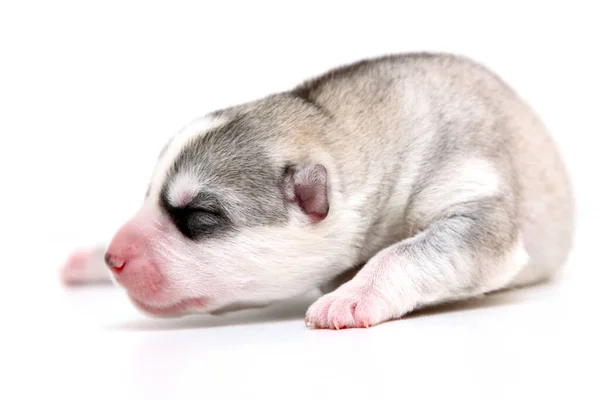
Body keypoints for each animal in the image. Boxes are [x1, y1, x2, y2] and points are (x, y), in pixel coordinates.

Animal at [58, 52, 576, 328]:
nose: (114, 257)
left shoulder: (471, 192)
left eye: (198, 217)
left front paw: (353, 293)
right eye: (146, 198)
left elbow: (414, 250)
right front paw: (91, 257)